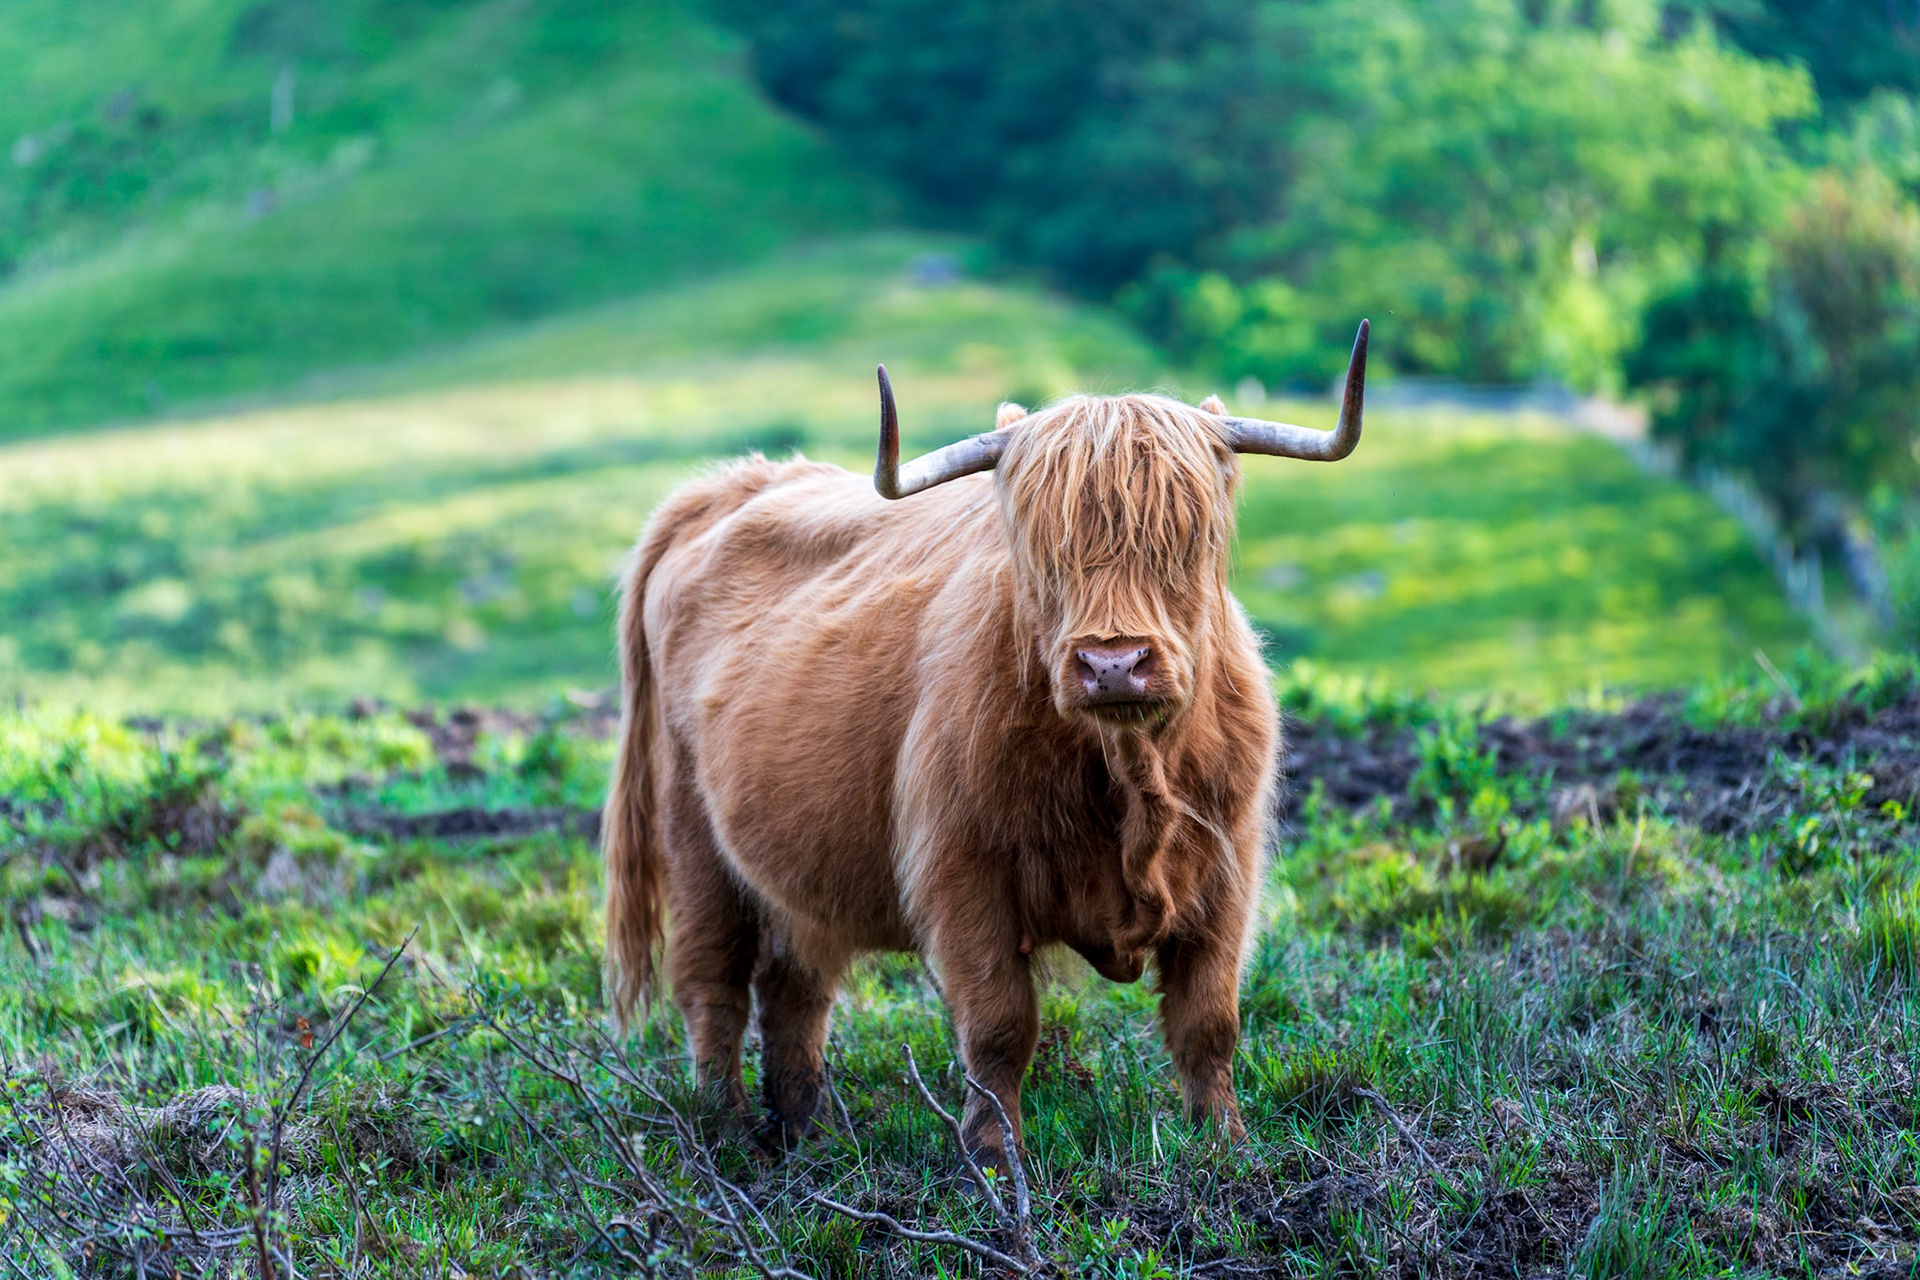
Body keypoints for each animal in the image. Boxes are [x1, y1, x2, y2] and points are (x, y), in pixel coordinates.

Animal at [603, 322, 1368, 1167]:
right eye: (1040, 548)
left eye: (1189, 537)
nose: (1113, 663)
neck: (1129, 772)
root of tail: (728, 485)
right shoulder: (966, 871)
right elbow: (1000, 1028)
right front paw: (997, 1162)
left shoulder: (1226, 871)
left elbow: (1209, 1022)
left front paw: (1224, 1149)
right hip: (692, 840)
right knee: (713, 986)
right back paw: (731, 1137)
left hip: (793, 868)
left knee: (793, 988)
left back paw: (809, 1137)